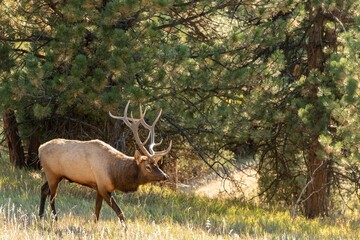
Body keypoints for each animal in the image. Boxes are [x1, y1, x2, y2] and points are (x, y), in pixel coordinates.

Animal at [38, 100, 172, 228]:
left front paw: (94, 226)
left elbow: (97, 211)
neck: (115, 173)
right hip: (52, 174)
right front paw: (125, 229)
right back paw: (55, 219)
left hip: (56, 175)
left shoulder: (98, 187)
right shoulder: (103, 186)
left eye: (157, 165)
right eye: (148, 167)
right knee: (52, 197)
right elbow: (119, 211)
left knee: (44, 189)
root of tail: (40, 148)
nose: (165, 176)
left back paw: (40, 216)